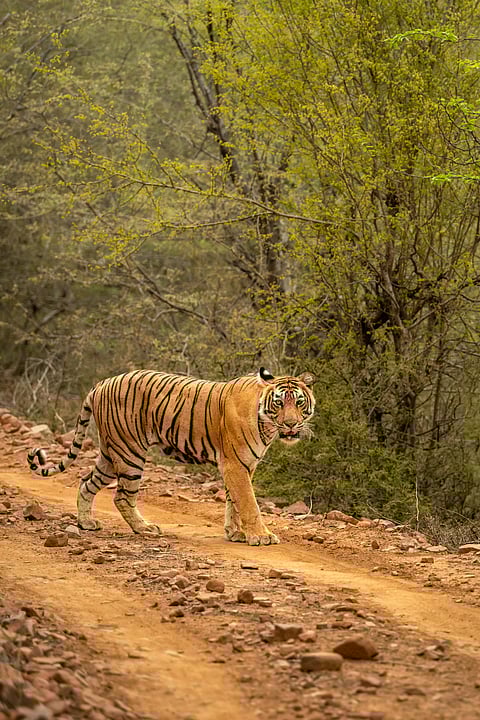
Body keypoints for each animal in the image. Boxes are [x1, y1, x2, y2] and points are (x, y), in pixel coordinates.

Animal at [27, 366, 315, 546]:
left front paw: (235, 533)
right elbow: (248, 503)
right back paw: (144, 528)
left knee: (87, 482)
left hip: (110, 453)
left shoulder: (244, 465)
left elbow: (233, 501)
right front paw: (261, 536)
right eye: (279, 402)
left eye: (299, 402)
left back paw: (86, 523)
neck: (266, 424)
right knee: (122, 496)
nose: (291, 424)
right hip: (130, 452)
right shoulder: (235, 464)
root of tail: (102, 383)